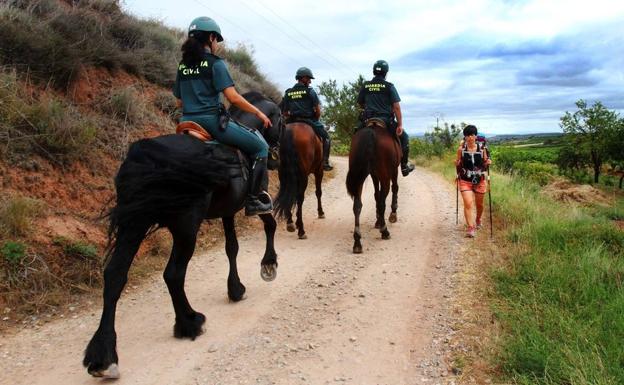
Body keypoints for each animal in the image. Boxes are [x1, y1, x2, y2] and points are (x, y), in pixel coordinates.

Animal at [84, 91, 282, 376]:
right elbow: (269, 224)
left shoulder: (227, 212)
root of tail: (148, 155)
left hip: (134, 225)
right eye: (280, 117)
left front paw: (235, 289)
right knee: (173, 274)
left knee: (115, 276)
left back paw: (103, 355)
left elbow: (231, 247)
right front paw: (269, 264)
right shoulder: (254, 201)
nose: (276, 152)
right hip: (185, 226)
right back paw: (189, 322)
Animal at [346, 118, 400, 254]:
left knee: (357, 206)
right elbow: (394, 189)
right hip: (385, 176)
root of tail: (372, 131)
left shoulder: (374, 175)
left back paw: (357, 242)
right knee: (382, 203)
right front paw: (392, 215)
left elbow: (376, 194)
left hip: (359, 177)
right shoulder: (394, 170)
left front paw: (378, 221)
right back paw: (385, 231)